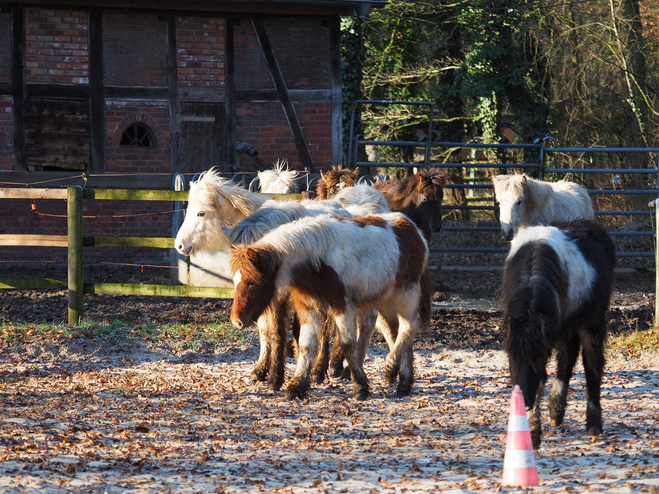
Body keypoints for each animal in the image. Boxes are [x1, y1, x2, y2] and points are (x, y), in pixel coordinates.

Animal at [229, 214, 430, 400]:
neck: (317, 260)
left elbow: (348, 344)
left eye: (251, 282)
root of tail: (412, 228)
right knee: (394, 331)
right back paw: (403, 383)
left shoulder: (342, 306)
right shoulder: (307, 307)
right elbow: (306, 345)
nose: (236, 321)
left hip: (405, 293)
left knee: (409, 325)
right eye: (235, 280)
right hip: (383, 299)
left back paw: (390, 368)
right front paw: (297, 385)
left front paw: (361, 387)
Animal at [502, 219, 616, 448]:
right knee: (567, 358)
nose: (523, 401)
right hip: (567, 327)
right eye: (511, 358)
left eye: (536, 359)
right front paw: (533, 432)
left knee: (592, 365)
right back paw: (556, 412)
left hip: (592, 323)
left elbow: (542, 379)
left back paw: (593, 423)